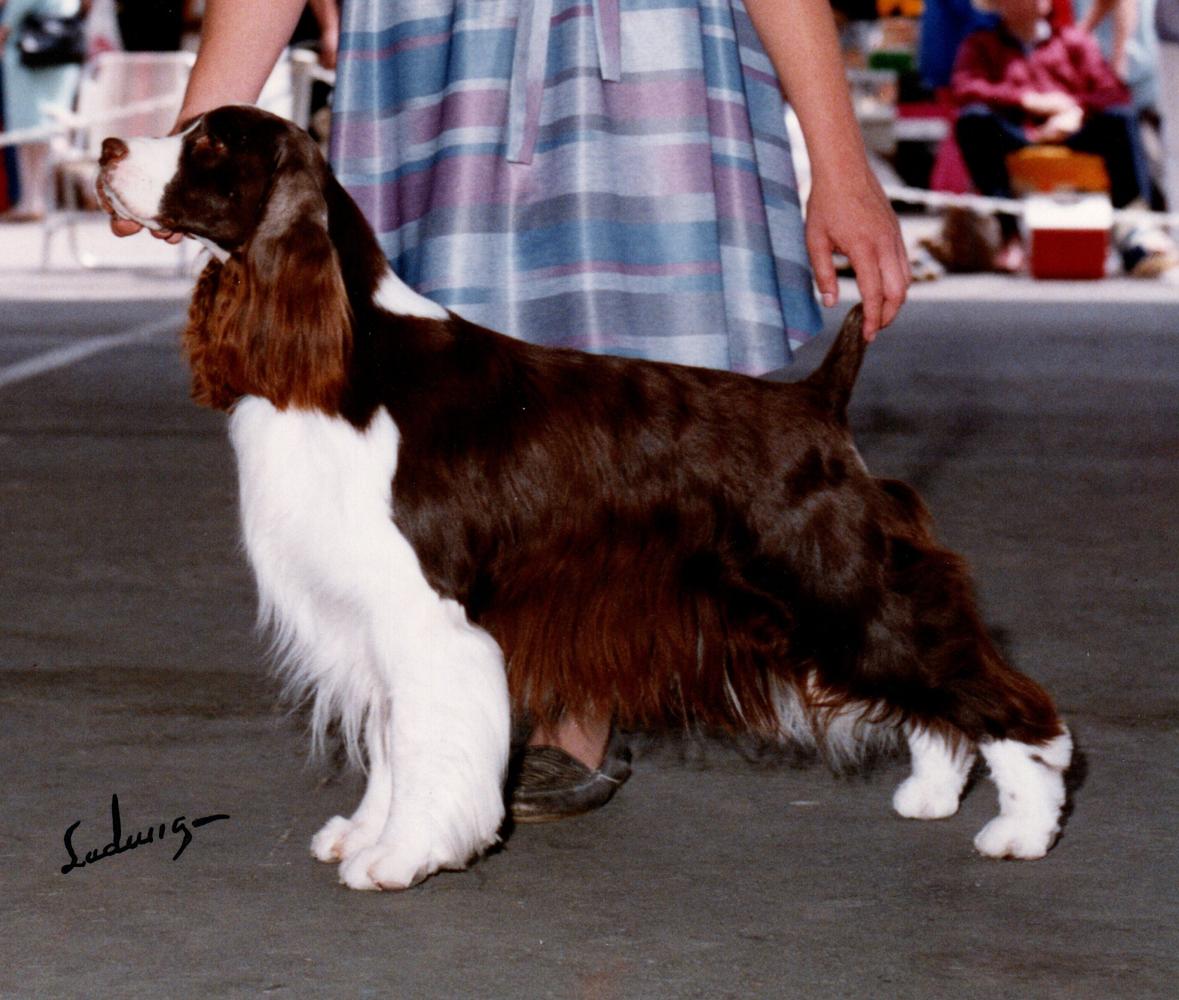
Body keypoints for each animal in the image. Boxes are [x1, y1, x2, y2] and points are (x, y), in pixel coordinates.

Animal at [96, 107, 1075, 891]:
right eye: (181, 125)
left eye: (210, 144)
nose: (106, 147)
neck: (349, 364)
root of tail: (818, 401)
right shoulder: (370, 613)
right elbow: (388, 743)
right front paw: (365, 835)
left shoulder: (428, 614)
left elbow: (421, 742)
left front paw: (402, 856)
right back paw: (931, 793)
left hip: (838, 582)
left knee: (1009, 704)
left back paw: (1021, 830)